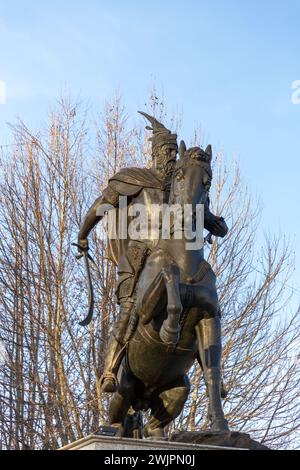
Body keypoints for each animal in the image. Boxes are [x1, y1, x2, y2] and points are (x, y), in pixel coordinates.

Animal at [109, 142, 229, 436]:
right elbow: (168, 274)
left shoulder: (210, 318)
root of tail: (143, 398)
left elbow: (212, 372)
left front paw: (220, 426)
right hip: (124, 387)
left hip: (177, 391)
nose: (188, 217)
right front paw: (170, 330)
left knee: (156, 425)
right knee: (117, 415)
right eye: (179, 175)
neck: (187, 265)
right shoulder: (145, 310)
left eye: (208, 182)